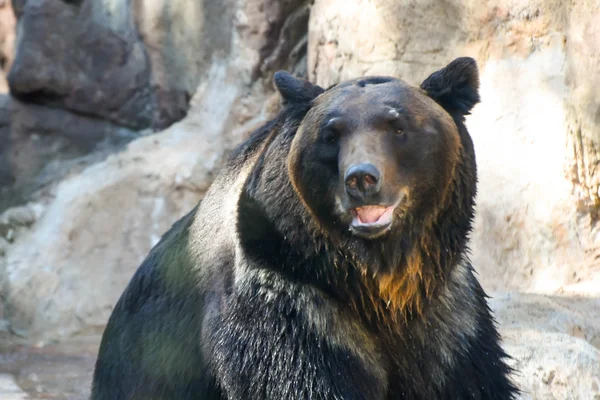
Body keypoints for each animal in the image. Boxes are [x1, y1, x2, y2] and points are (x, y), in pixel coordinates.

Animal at [91, 57, 516, 400]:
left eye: (397, 126)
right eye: (331, 134)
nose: (362, 178)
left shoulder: (445, 313)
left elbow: (472, 376)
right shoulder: (291, 296)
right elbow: (302, 375)